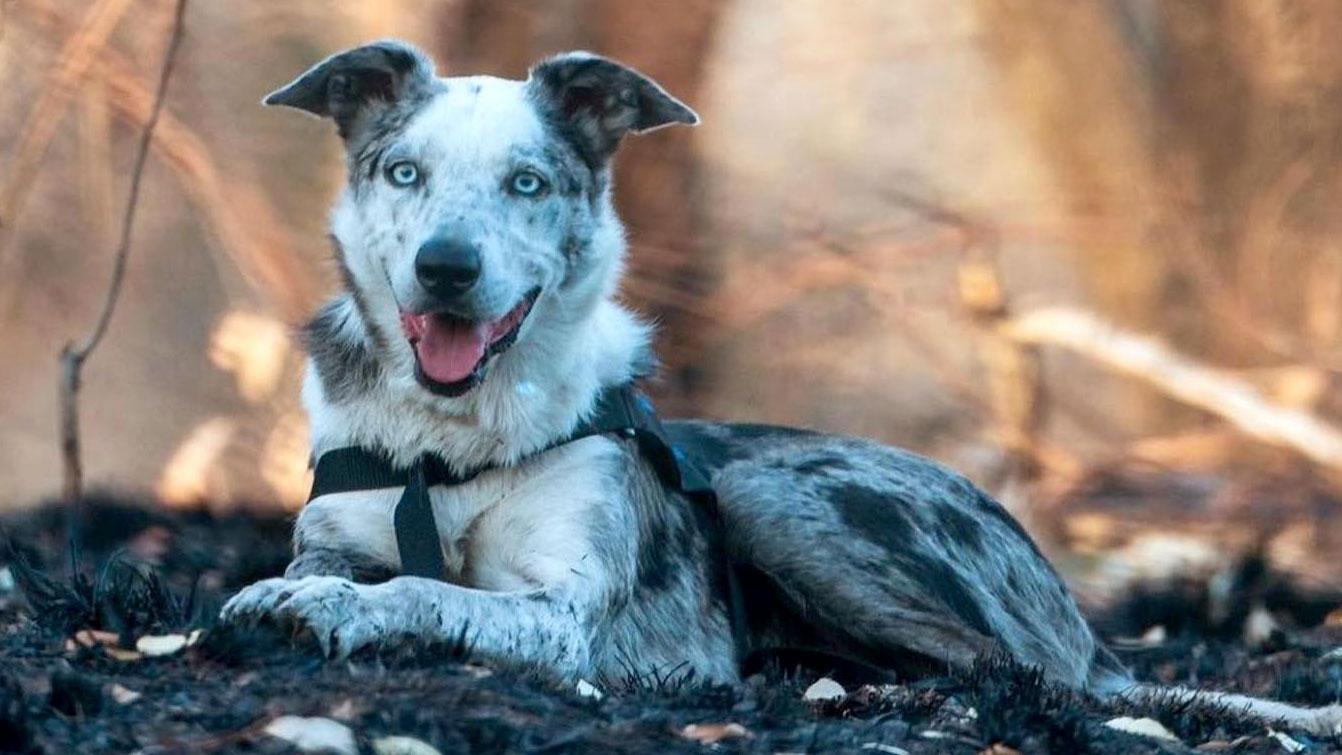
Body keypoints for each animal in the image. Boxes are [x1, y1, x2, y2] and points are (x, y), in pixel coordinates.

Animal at [222, 41, 1342, 740]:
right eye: (403, 172)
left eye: (527, 182)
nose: (447, 269)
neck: (451, 444)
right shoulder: (344, 525)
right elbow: (351, 566)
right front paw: (302, 589)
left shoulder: (564, 613)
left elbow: (428, 589)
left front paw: (328, 606)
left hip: (775, 498)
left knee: (1014, 670)